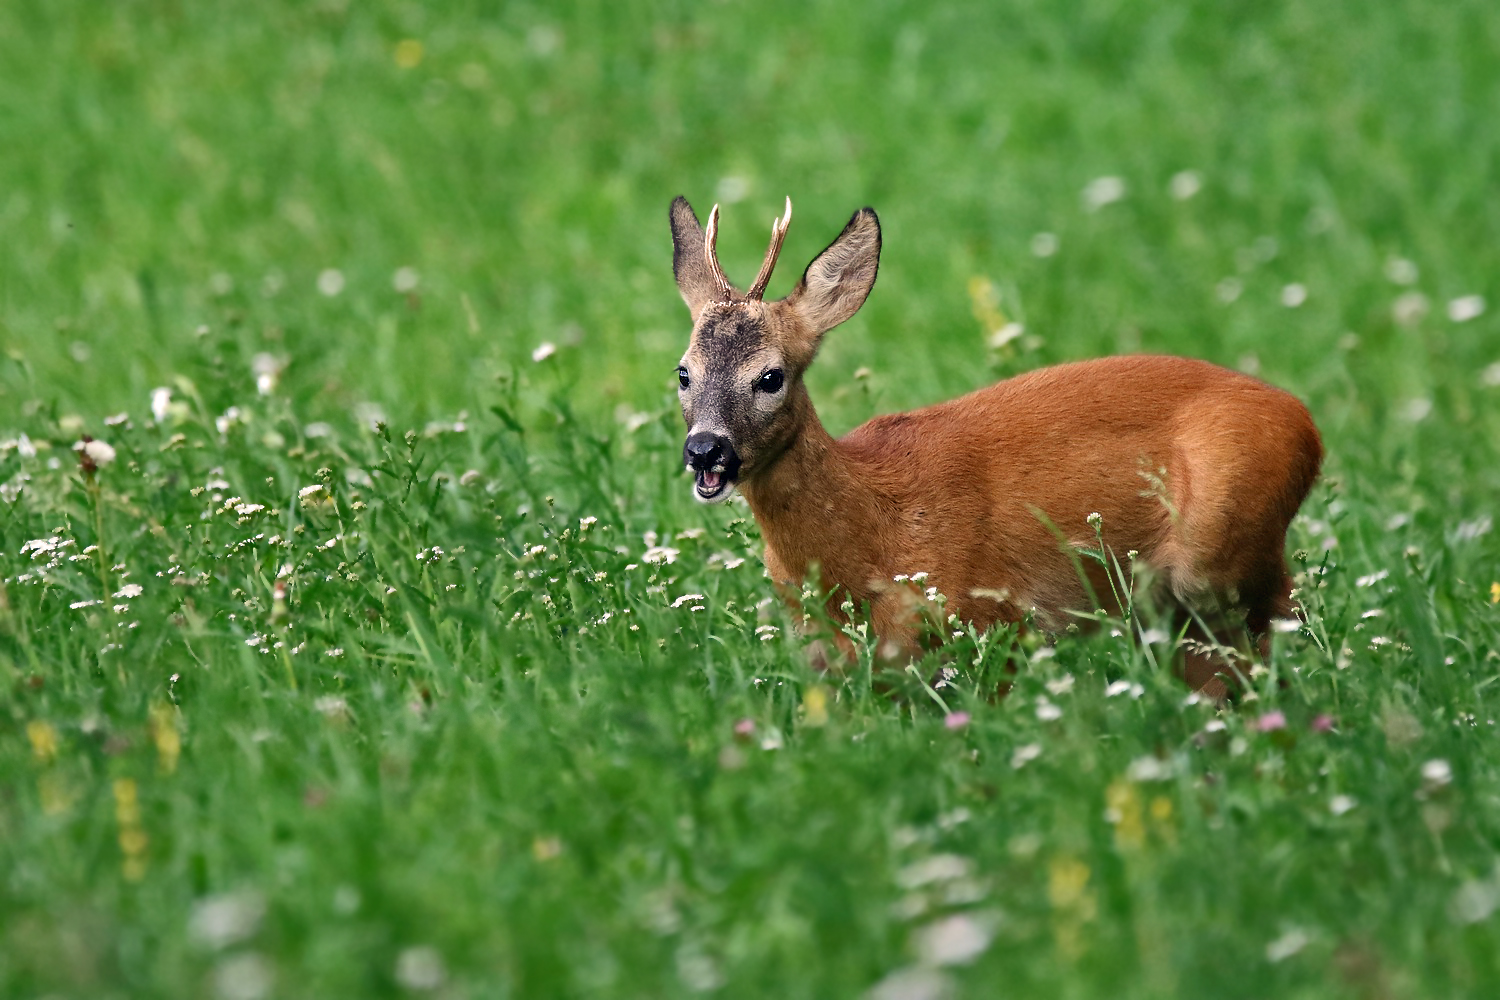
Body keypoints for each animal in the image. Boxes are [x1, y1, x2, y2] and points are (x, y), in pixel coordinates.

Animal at [672, 197, 1326, 692]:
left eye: (770, 376)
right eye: (683, 372)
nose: (706, 451)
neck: (873, 530)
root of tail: (1306, 422)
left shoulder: (992, 619)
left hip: (1220, 550)